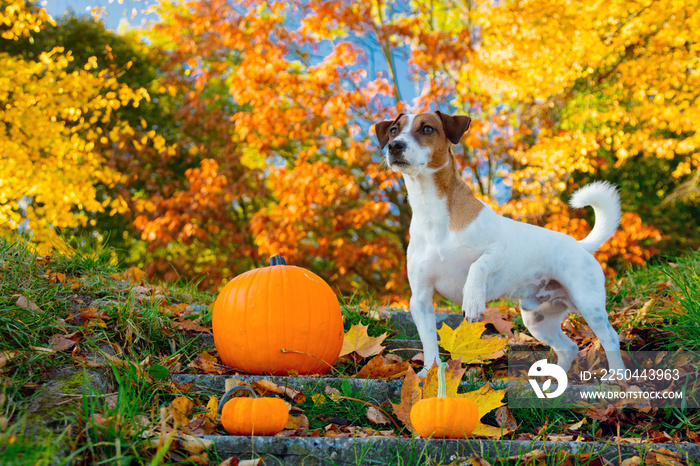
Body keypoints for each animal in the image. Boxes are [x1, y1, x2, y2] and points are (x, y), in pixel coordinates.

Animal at [374, 112, 628, 378]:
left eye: (426, 129)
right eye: (394, 130)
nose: (394, 146)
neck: (432, 211)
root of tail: (581, 246)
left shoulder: (497, 250)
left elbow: (477, 266)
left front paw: (472, 299)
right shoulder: (421, 299)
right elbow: (429, 342)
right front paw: (428, 374)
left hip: (589, 304)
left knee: (610, 338)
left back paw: (617, 377)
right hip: (537, 319)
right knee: (568, 347)